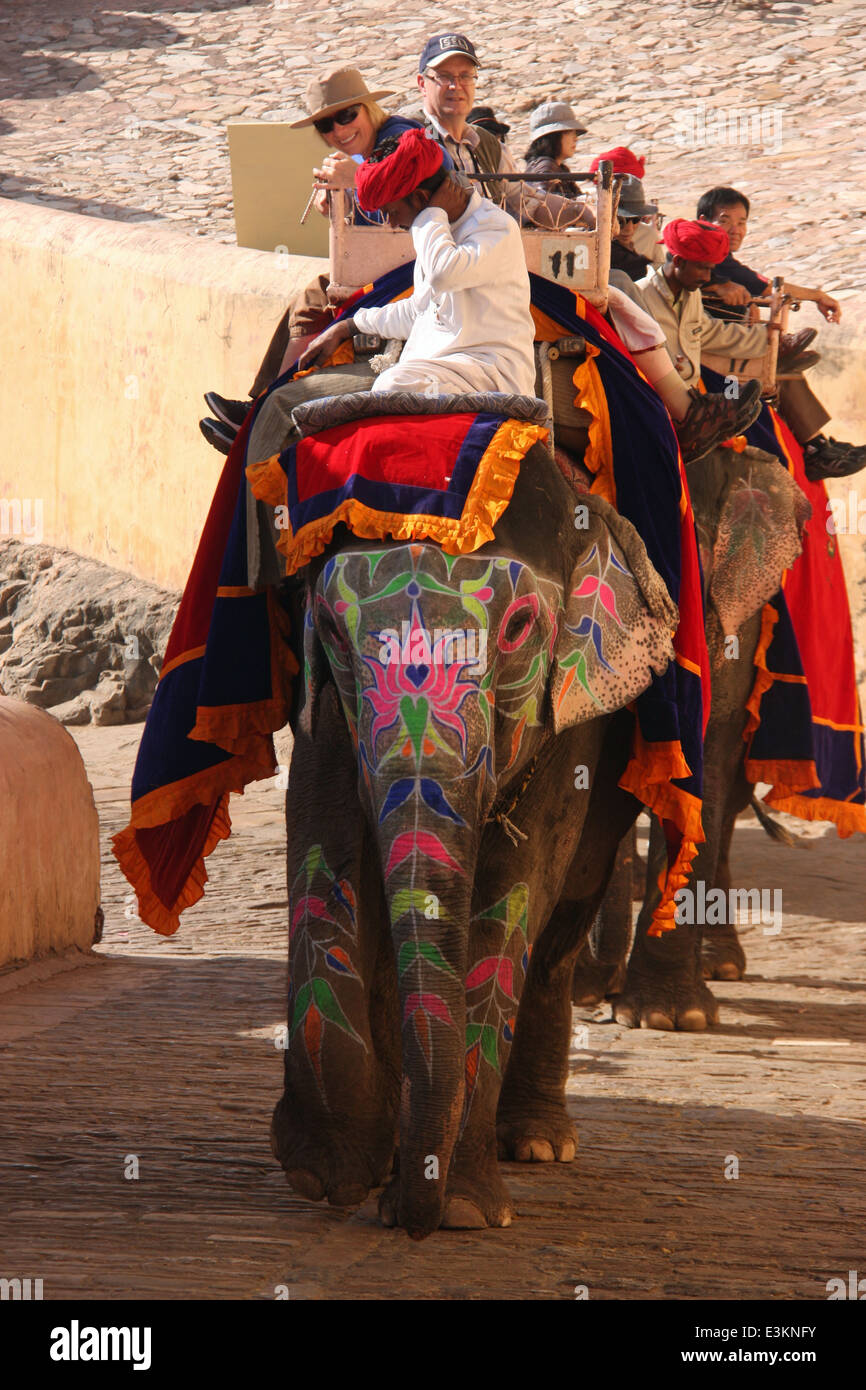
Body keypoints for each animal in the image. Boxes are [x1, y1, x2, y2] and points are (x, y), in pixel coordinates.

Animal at [273, 428, 681, 1234]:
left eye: (521, 628)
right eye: (332, 629)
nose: (411, 1220)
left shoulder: (571, 715)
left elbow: (515, 894)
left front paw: (460, 1209)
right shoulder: (328, 709)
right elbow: (324, 852)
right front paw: (325, 1175)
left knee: (559, 926)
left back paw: (538, 1143)